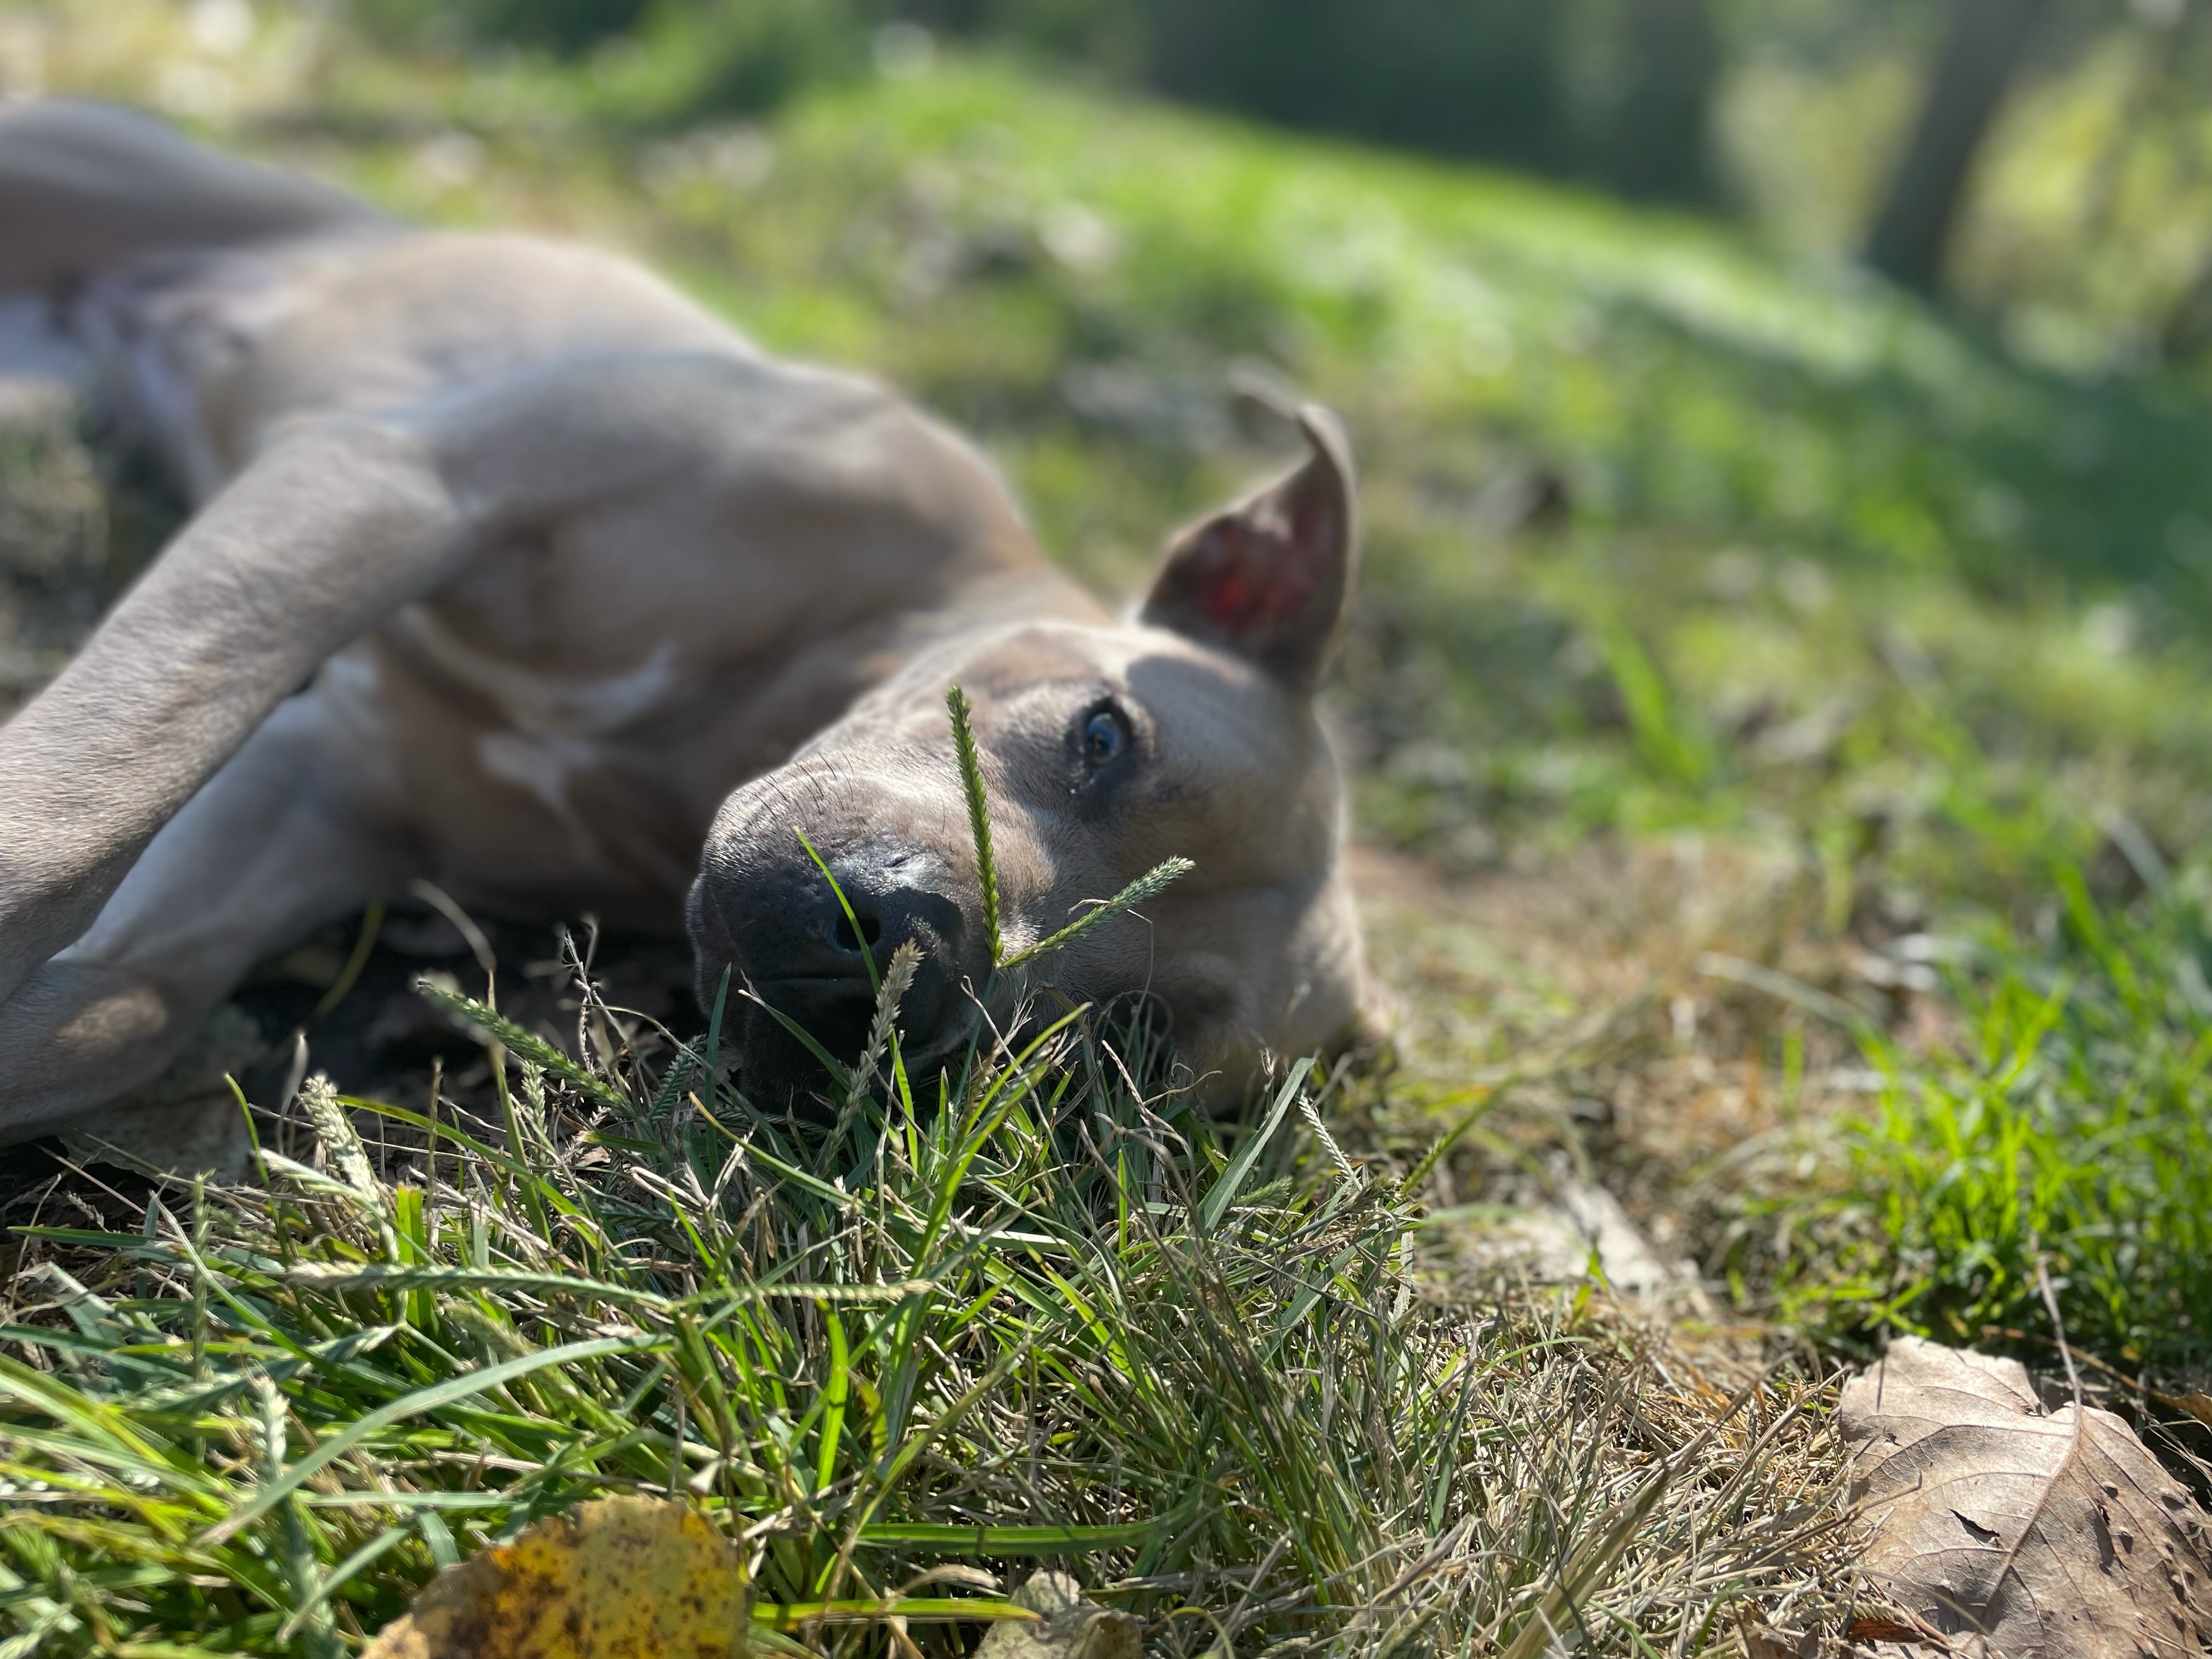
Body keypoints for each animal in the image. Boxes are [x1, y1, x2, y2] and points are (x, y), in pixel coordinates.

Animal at [0, 97, 1371, 1150]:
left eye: (1124, 1046)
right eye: (1103, 736)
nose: (910, 962)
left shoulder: (319, 800)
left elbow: (116, 1004)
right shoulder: (393, 484)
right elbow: (67, 835)